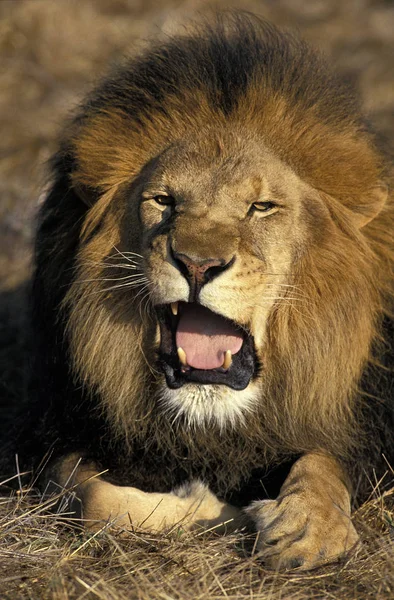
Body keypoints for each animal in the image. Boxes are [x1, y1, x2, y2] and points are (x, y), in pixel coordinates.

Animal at [3, 11, 394, 568]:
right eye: (164, 200)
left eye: (261, 207)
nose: (198, 264)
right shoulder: (56, 430)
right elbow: (93, 498)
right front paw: (219, 510)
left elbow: (323, 462)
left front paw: (306, 527)